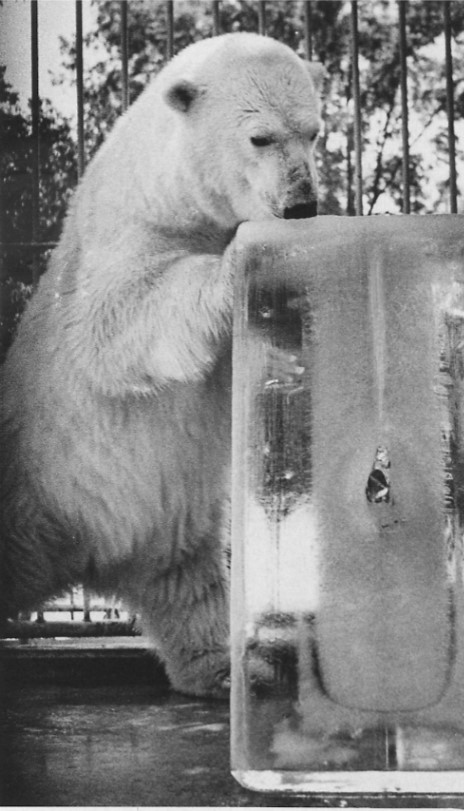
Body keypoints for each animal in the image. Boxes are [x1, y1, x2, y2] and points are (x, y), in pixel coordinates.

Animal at [0, 30, 324, 692]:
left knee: (190, 588)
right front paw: (235, 268)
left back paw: (230, 667)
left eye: (314, 132)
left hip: (170, 530)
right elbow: (120, 316)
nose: (302, 204)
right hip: (27, 481)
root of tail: (83, 557)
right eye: (260, 137)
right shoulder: (125, 236)